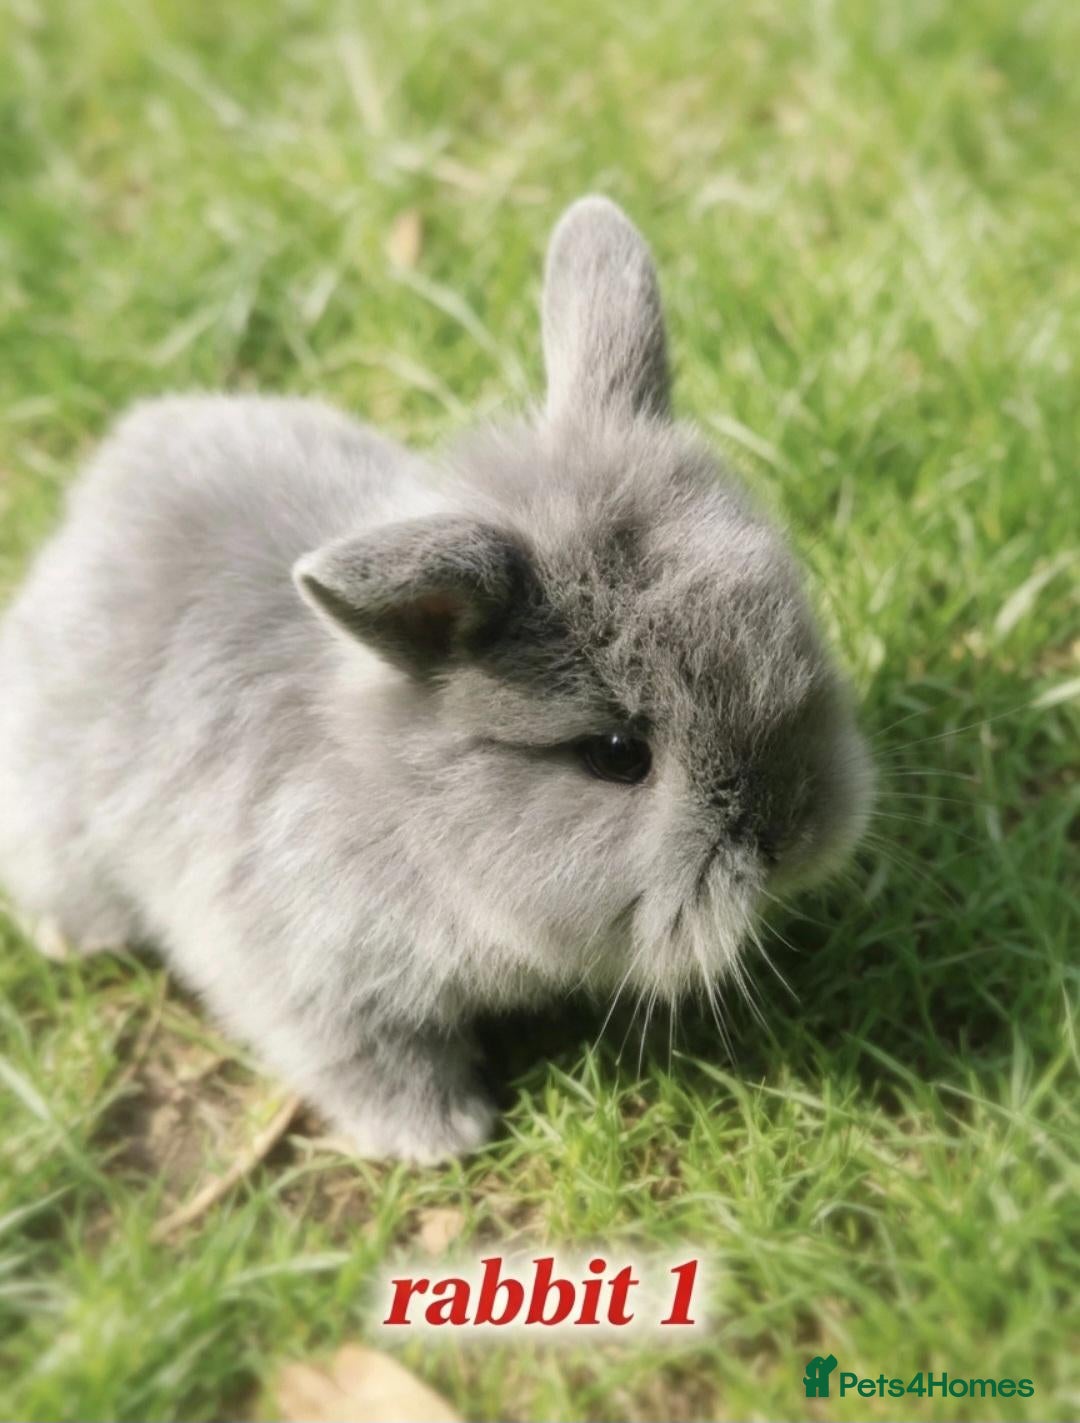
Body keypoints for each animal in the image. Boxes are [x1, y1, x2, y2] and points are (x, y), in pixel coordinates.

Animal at [0, 197, 873, 1162]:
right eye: (618, 754)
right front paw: (442, 1135)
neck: (405, 797)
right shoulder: (310, 975)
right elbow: (364, 1056)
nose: (794, 833)